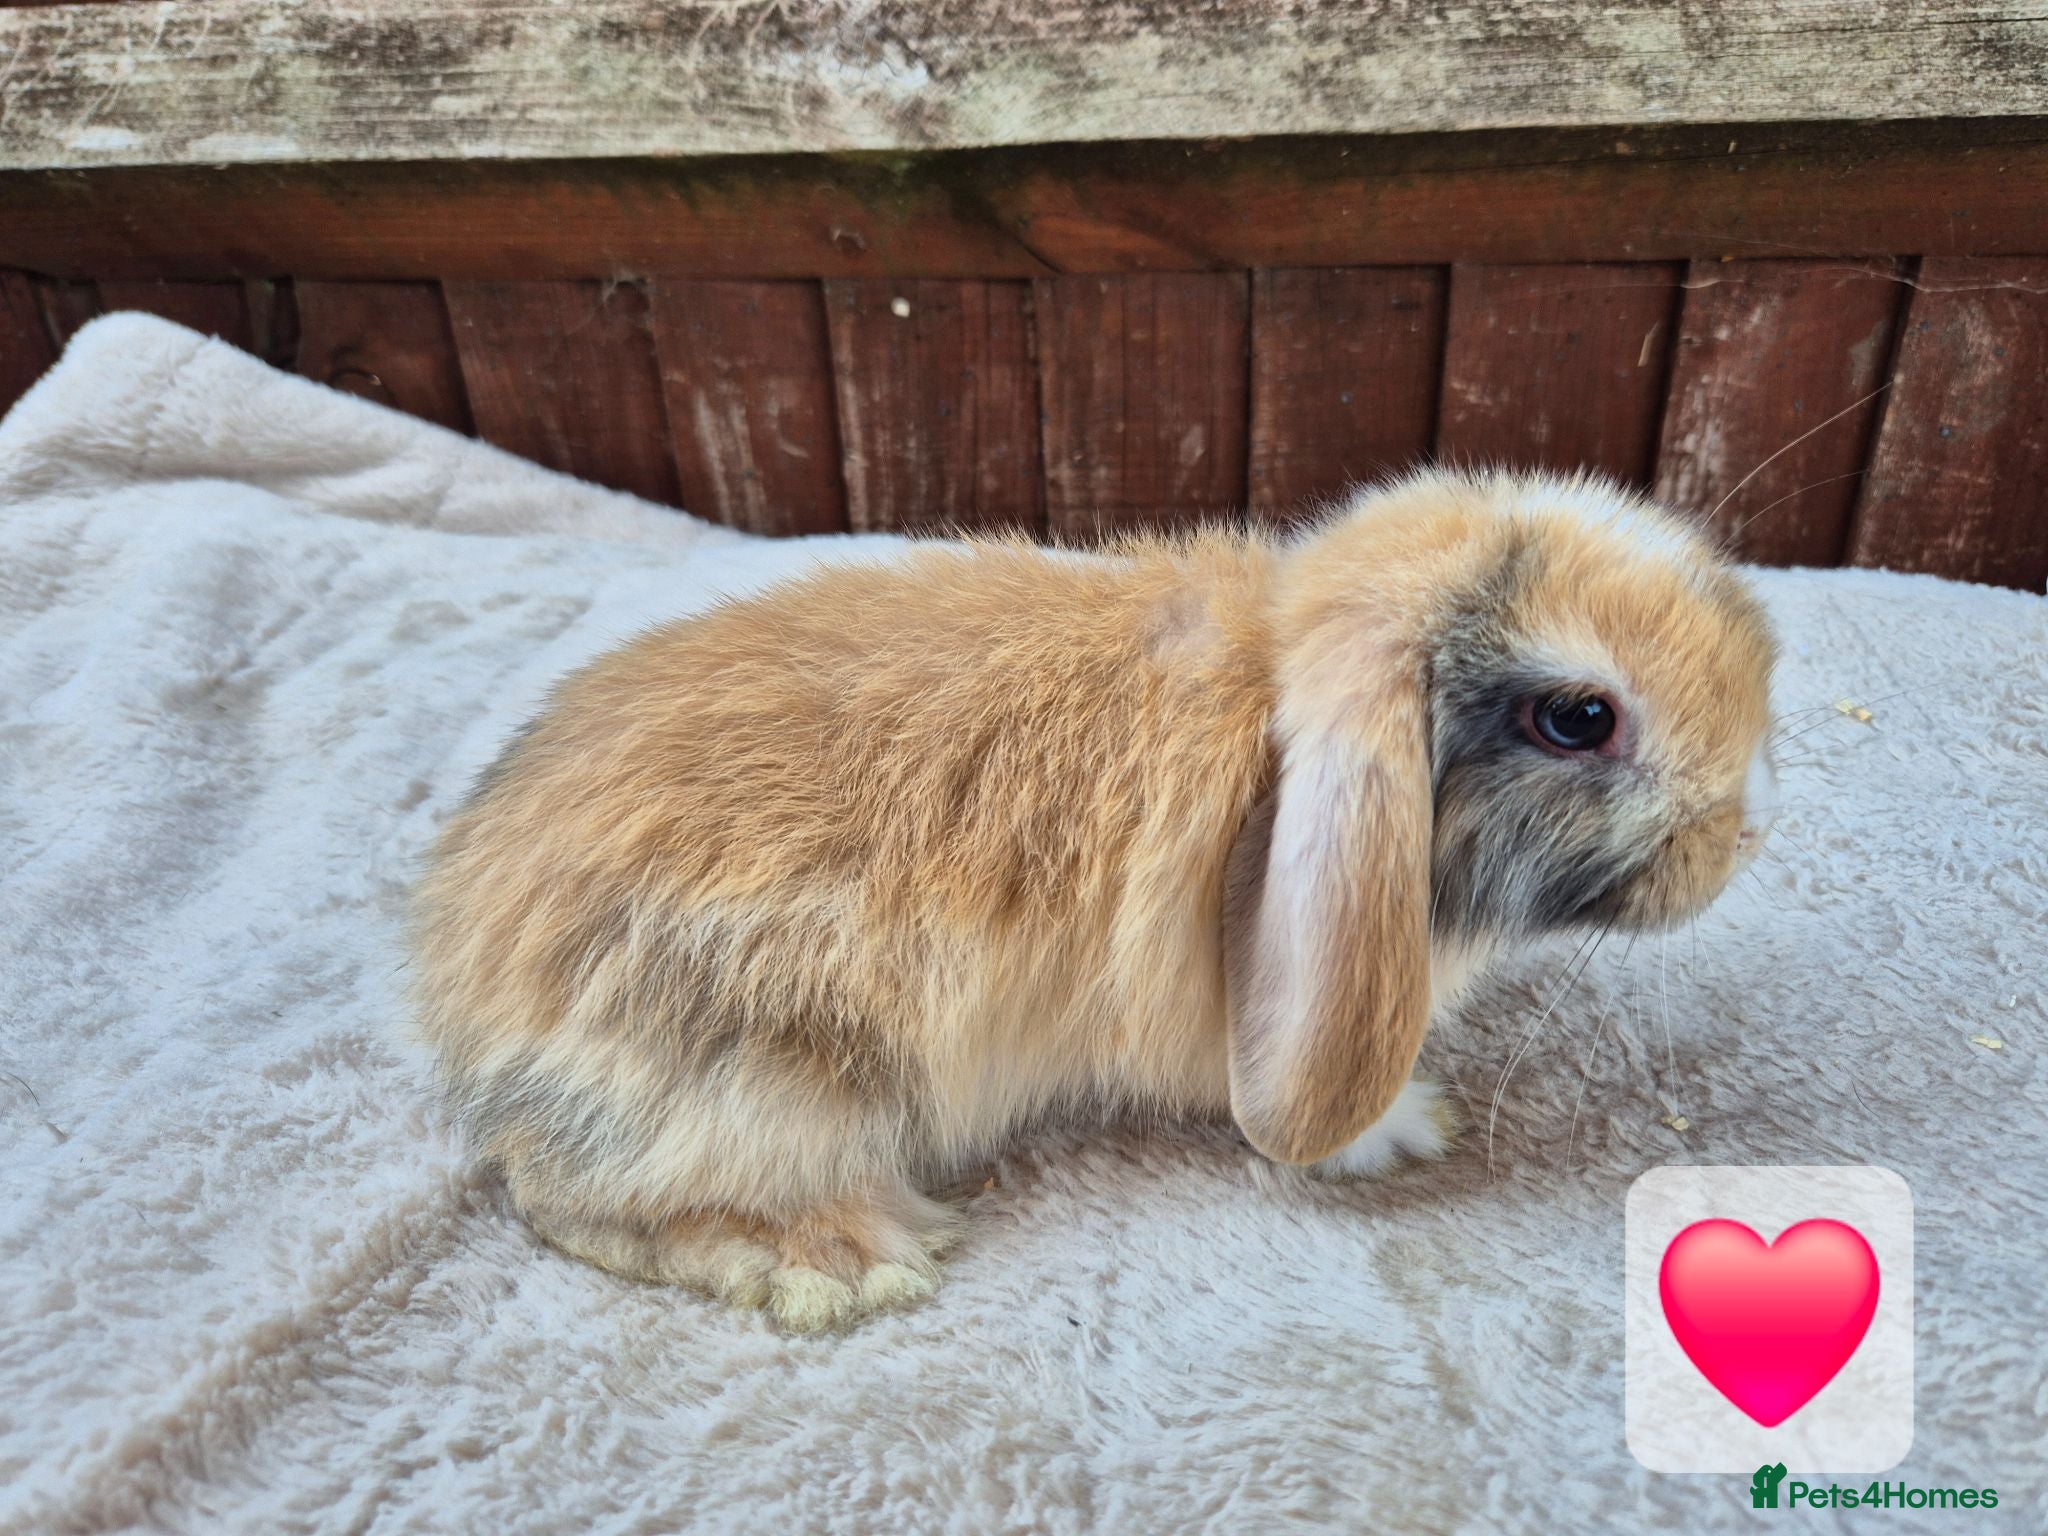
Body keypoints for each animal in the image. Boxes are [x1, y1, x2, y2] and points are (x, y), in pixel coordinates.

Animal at [411, 468, 1778, 1331]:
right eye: (1578, 718)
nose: (1731, 845)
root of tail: (460, 997)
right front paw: (1401, 1131)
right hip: (778, 1085)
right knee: (574, 1204)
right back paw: (842, 1264)